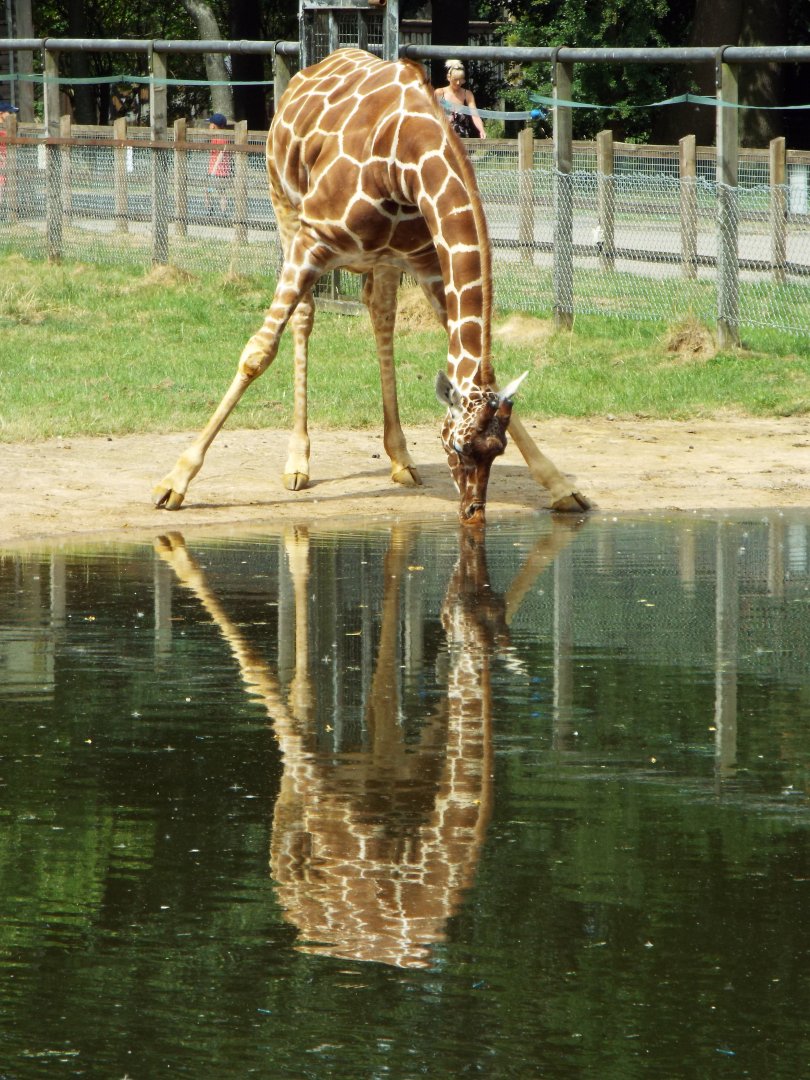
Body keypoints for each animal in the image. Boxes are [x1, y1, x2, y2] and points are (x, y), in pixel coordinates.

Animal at [153, 48, 590, 526]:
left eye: (499, 449)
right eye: (456, 446)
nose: (473, 513)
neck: (406, 161)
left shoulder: (427, 260)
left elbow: (481, 370)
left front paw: (561, 487)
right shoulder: (313, 240)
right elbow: (257, 353)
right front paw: (175, 481)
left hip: (383, 259)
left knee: (381, 317)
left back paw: (400, 457)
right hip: (284, 207)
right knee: (304, 316)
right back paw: (297, 463)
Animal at [155, 519, 582, 967]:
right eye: (457, 608)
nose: (458, 591)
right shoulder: (326, 794)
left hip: (386, 762)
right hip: (300, 798)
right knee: (295, 697)